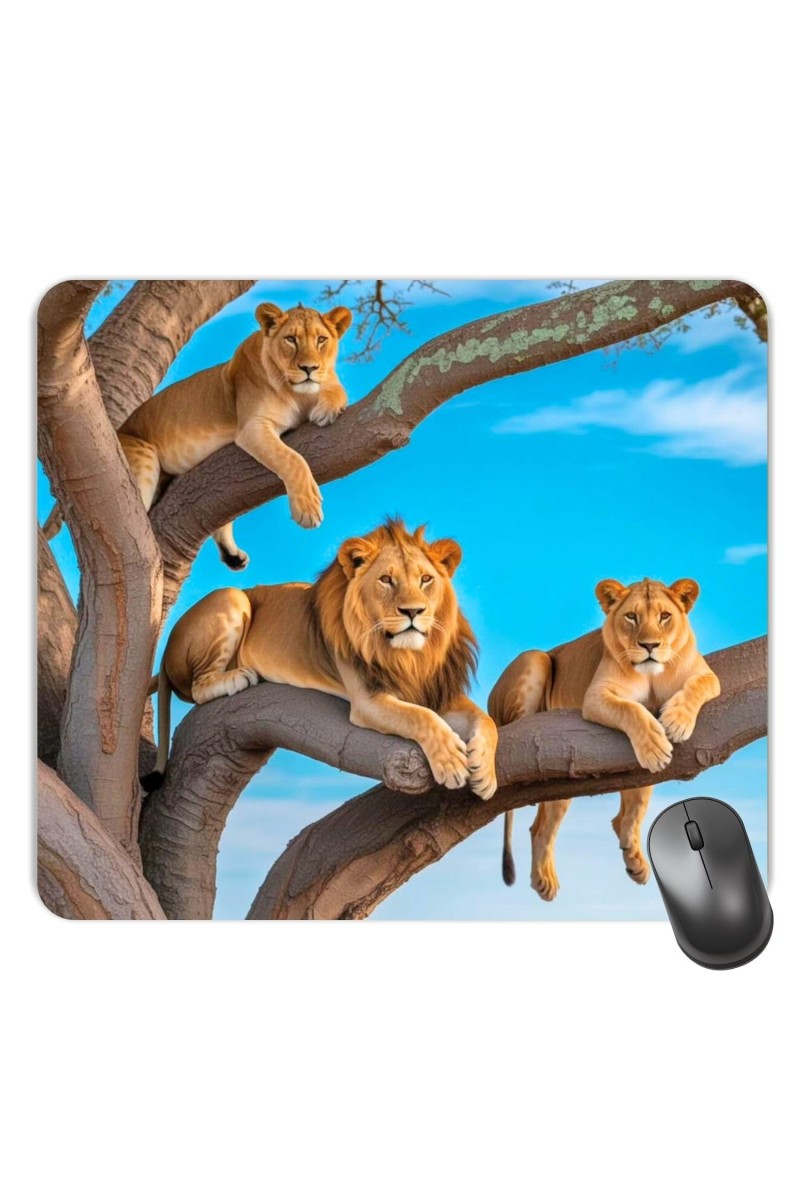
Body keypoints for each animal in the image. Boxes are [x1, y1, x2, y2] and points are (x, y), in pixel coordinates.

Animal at [43, 301, 352, 568]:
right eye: (291, 339)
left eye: (321, 340)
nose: (309, 368)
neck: (297, 393)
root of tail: (117, 429)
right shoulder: (252, 427)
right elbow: (291, 458)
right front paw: (308, 507)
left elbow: (338, 389)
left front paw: (327, 407)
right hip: (141, 455)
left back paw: (232, 555)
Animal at [143, 519, 498, 800]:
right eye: (386, 580)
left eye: (426, 579)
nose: (413, 611)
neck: (411, 656)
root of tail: (167, 647)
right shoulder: (368, 700)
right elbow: (421, 716)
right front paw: (451, 762)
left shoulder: (439, 691)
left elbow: (486, 720)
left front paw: (485, 773)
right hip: (231, 596)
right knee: (197, 687)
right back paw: (237, 677)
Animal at [488, 577, 720, 900]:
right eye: (631, 617)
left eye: (665, 616)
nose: (649, 646)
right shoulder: (596, 695)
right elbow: (631, 709)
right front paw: (654, 745)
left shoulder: (705, 674)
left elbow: (699, 685)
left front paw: (677, 721)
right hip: (534, 658)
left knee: (564, 824)